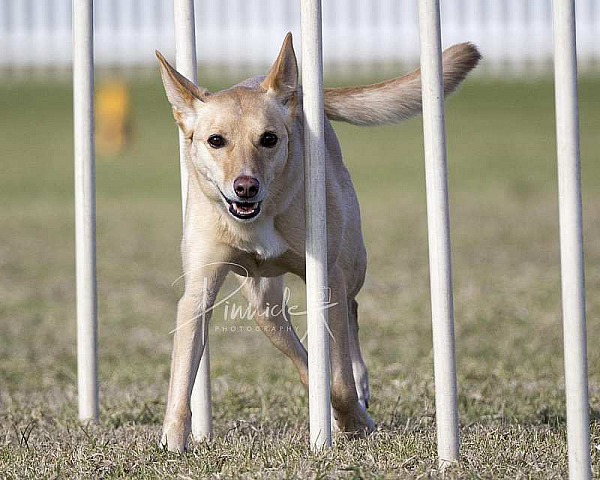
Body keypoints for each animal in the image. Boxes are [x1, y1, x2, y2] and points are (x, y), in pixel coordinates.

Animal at [157, 32, 480, 450]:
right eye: (215, 141)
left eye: (268, 139)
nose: (246, 187)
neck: (261, 218)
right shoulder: (198, 289)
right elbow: (183, 374)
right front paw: (173, 439)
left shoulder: (327, 279)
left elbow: (340, 381)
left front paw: (355, 422)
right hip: (265, 308)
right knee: (302, 356)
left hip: (352, 262)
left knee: (351, 315)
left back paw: (356, 392)